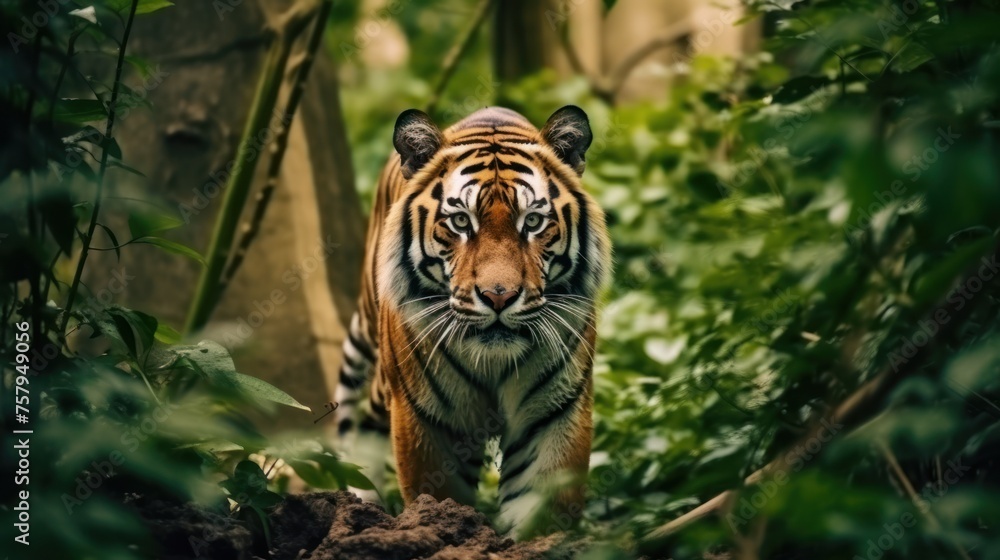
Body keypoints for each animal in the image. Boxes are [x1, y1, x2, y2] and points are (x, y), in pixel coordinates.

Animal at [334, 105, 611, 536]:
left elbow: (542, 507)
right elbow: (440, 496)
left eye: (533, 222)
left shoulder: (554, 412)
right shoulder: (428, 419)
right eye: (461, 222)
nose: (499, 296)